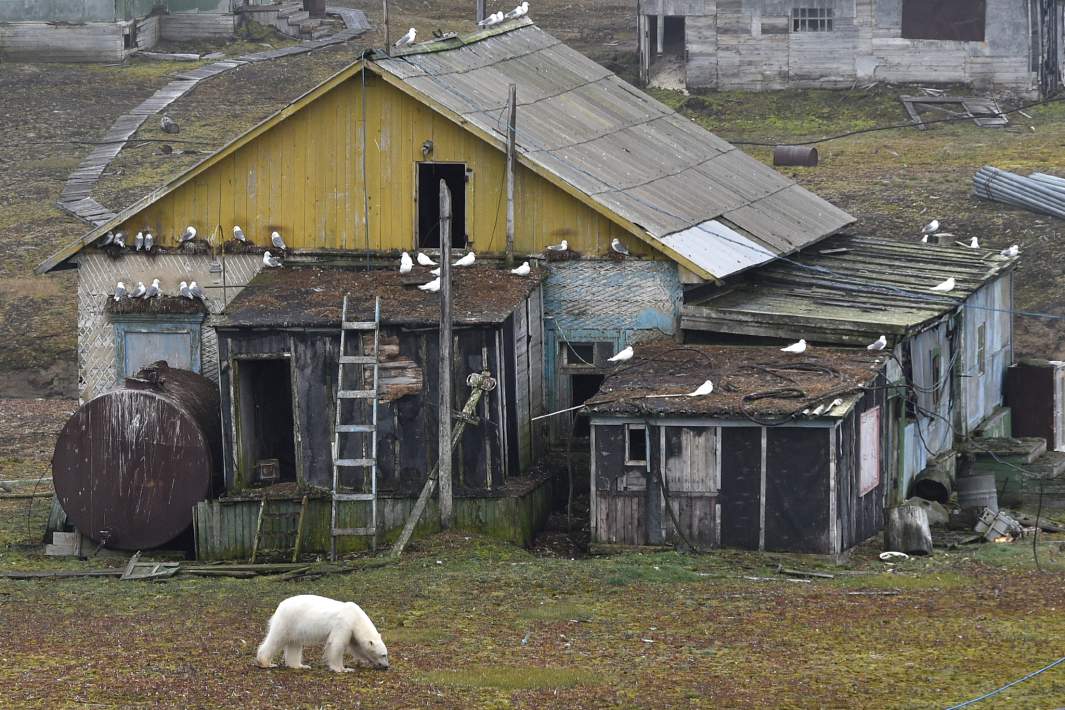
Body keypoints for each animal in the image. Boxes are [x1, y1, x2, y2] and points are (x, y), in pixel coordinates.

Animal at [255, 596, 389, 672]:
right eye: (383, 655)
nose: (387, 666)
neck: (355, 616)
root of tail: (280, 605)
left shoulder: (352, 631)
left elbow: (358, 648)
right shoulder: (343, 624)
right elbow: (337, 644)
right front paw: (344, 669)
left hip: (295, 627)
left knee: (294, 643)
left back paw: (300, 666)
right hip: (288, 620)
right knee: (276, 639)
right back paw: (266, 663)